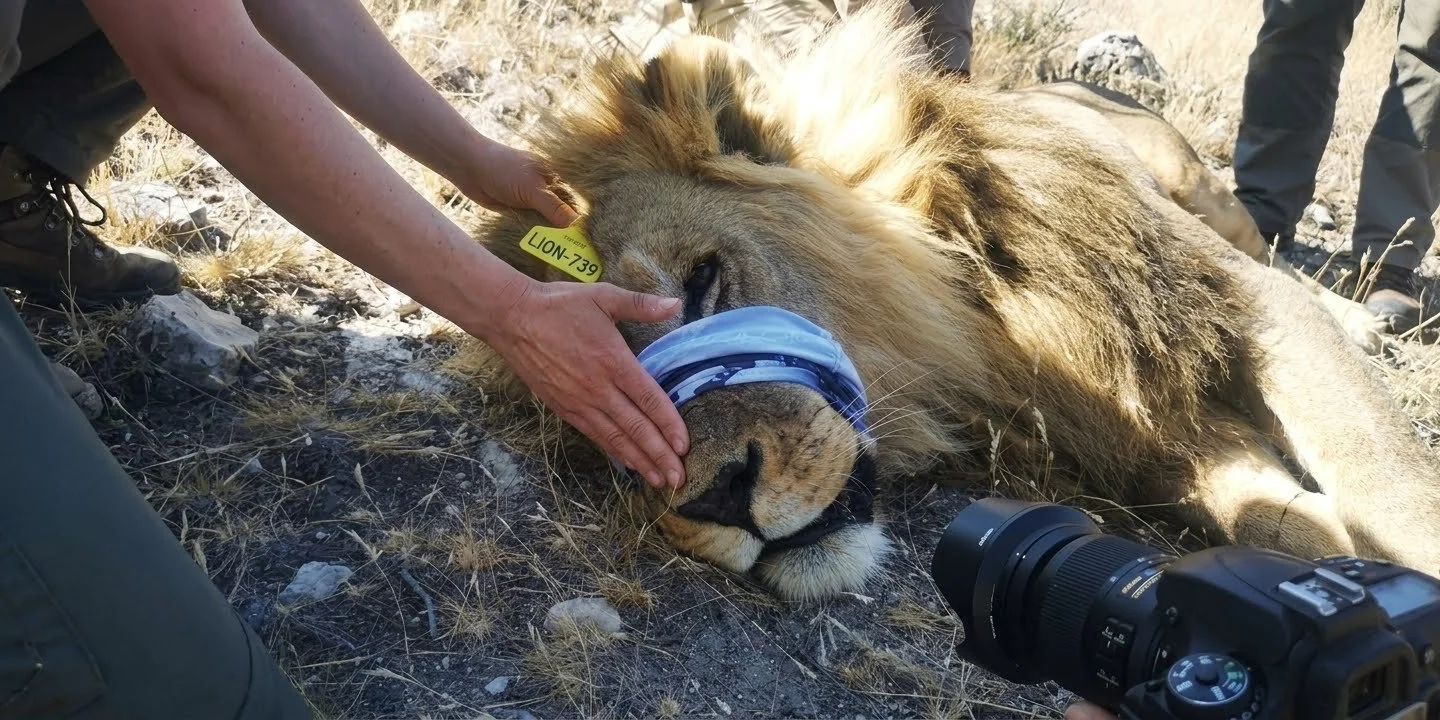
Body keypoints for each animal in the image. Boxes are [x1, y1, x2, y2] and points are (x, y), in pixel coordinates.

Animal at [467, 0, 1440, 601]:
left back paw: (1372, 315)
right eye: (592, 406)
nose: (717, 500)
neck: (988, 326)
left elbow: (1387, 481)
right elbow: (1275, 519)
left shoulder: (1238, 306)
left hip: (1198, 187)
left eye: (705, 281)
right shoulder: (1145, 441)